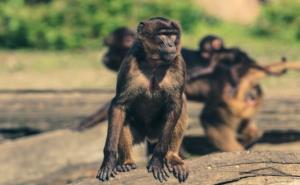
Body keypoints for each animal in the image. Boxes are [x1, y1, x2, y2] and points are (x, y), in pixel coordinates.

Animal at [96, 17, 189, 184]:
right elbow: (119, 106)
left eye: (172, 35)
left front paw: (158, 159)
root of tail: (149, 135)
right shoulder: (129, 63)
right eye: (163, 34)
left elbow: (176, 105)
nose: (171, 45)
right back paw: (126, 162)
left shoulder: (178, 63)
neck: (154, 63)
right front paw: (109, 161)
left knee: (182, 104)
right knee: (123, 116)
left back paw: (172, 156)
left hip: (158, 130)